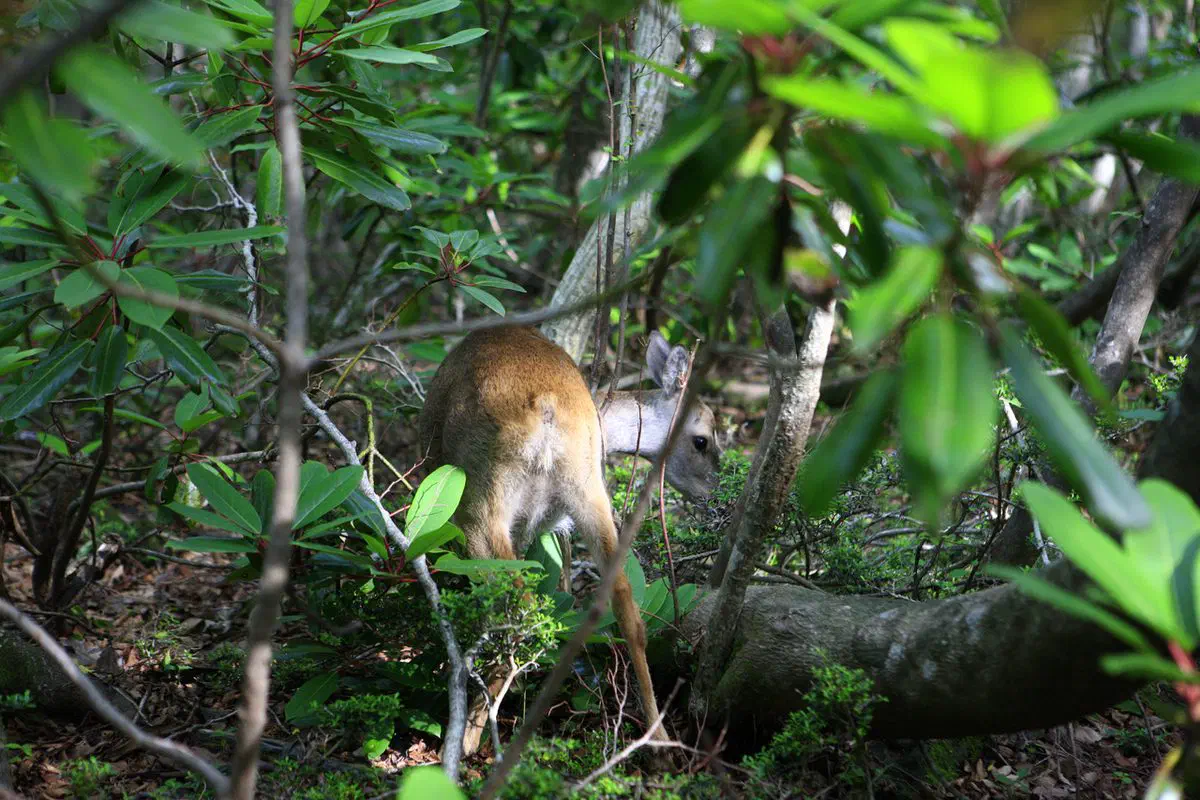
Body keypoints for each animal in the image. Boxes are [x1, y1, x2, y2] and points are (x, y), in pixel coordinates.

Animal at [417, 324, 721, 757]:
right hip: (588, 488)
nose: (718, 496)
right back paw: (657, 737)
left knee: (516, 601)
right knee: (624, 599)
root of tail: (546, 408)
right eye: (702, 440)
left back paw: (468, 736)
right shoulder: (553, 526)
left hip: (478, 500)